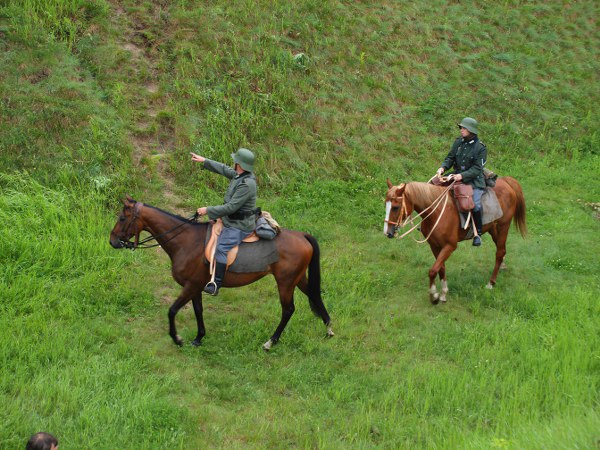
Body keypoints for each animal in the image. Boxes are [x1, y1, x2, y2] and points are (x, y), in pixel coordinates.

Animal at [109, 196, 334, 350]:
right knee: (314, 295)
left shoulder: (190, 286)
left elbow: (172, 310)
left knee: (288, 310)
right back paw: (329, 329)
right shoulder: (196, 286)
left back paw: (270, 342)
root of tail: (302, 235)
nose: (112, 241)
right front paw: (199, 338)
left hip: (285, 282)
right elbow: (198, 310)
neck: (186, 241)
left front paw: (177, 339)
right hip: (298, 278)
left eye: (122, 218)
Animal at [384, 177, 527, 303]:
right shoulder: (434, 246)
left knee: (499, 251)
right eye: (386, 204)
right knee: (501, 248)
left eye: (396, 207)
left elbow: (433, 270)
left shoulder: (450, 246)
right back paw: (502, 266)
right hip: (492, 228)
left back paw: (491, 283)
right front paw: (443, 293)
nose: (388, 232)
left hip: (504, 226)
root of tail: (507, 181)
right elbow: (440, 268)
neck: (436, 211)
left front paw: (434, 295)